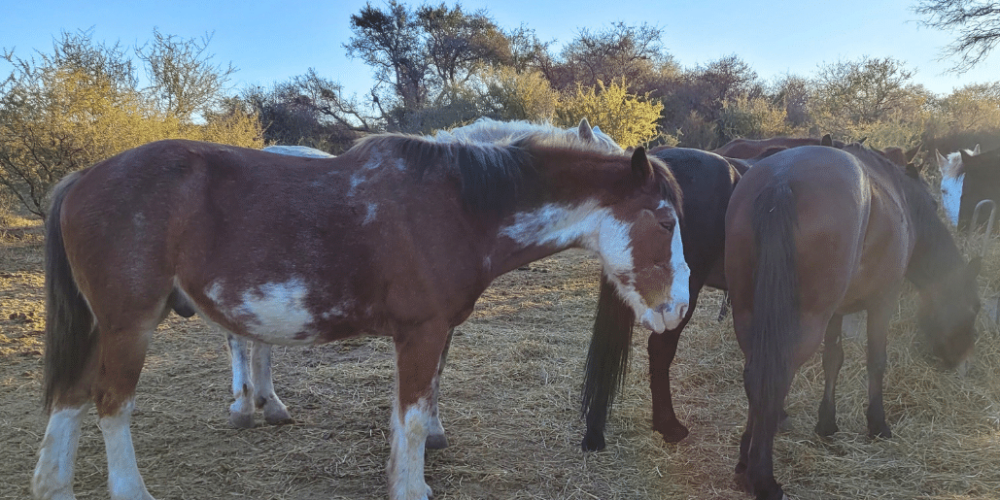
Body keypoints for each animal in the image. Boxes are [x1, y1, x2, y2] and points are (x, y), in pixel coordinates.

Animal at [31, 130, 688, 500]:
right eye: (665, 221)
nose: (677, 308)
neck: (460, 205)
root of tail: (81, 179)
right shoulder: (423, 333)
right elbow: (415, 420)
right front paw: (413, 489)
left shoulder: (420, 337)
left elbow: (405, 417)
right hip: (128, 326)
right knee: (110, 404)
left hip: (99, 328)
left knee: (70, 397)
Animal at [724, 144, 980, 500]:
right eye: (975, 309)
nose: (961, 361)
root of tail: (781, 180)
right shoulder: (883, 300)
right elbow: (876, 361)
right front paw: (877, 424)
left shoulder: (837, 311)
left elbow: (833, 359)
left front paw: (827, 423)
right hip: (803, 322)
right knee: (775, 378)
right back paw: (762, 478)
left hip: (750, 314)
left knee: (755, 377)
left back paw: (744, 462)